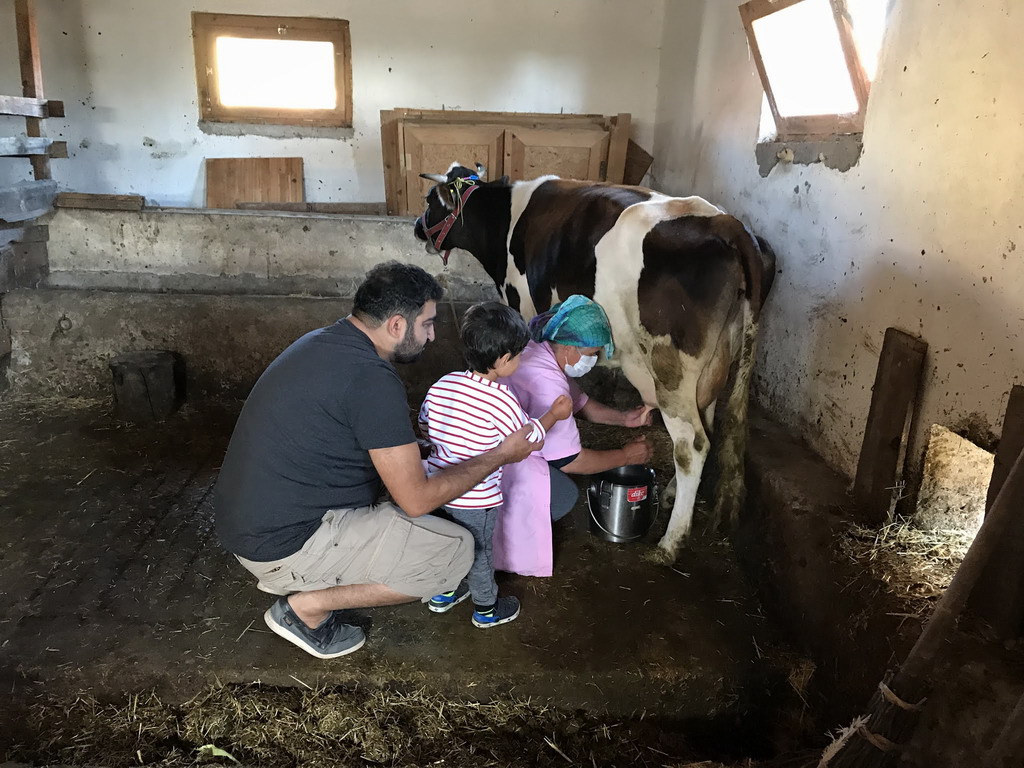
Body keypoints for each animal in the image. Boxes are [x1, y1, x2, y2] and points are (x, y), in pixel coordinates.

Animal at [413, 163, 776, 559]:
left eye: (430, 201)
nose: (416, 227)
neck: (508, 219)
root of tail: (728, 224)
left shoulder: (524, 308)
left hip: (672, 369)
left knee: (691, 445)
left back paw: (670, 542)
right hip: (713, 365)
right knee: (706, 427)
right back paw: (670, 496)